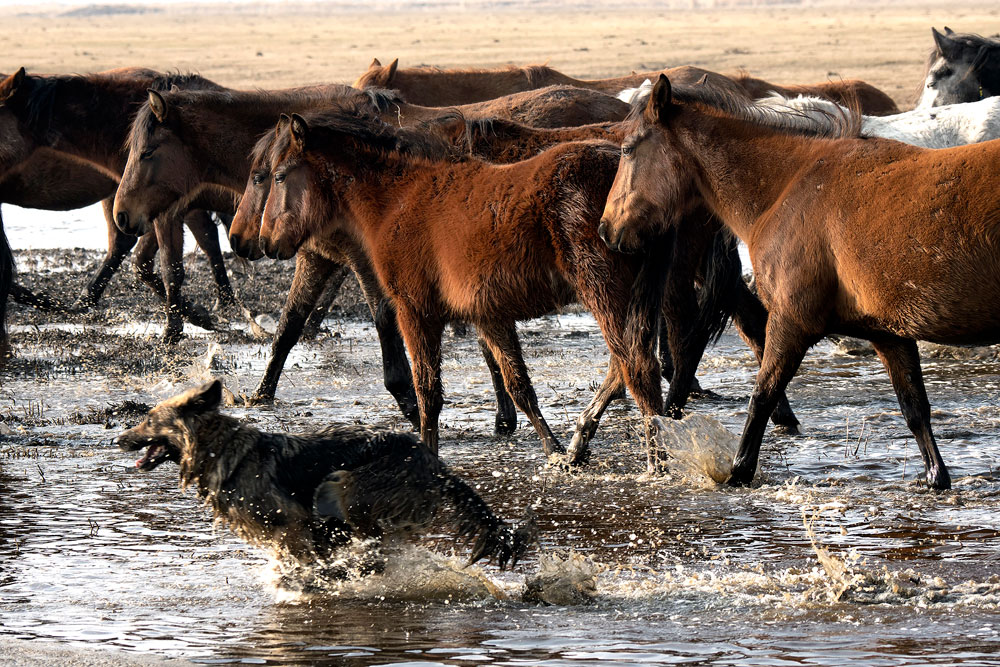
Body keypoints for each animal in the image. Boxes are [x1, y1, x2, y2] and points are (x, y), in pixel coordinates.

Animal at [115, 384, 532, 572]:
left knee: (374, 542)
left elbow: (299, 551)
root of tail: (433, 459)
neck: (223, 450)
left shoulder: (292, 520)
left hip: (347, 486)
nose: (117, 439)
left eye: (148, 420)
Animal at [254, 107, 668, 468]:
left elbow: (428, 394)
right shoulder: (489, 316)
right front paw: (554, 452)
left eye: (279, 176)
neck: (397, 201)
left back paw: (656, 463)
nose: (266, 243)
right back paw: (582, 445)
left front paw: (429, 456)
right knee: (621, 367)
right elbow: (519, 387)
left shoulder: (415, 313)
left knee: (638, 368)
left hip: (603, 292)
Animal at [596, 74, 1000, 490]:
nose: (607, 229)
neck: (789, 189)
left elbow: (762, 396)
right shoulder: (889, 334)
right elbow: (914, 408)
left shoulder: (791, 322)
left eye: (627, 149)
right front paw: (936, 477)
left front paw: (739, 472)